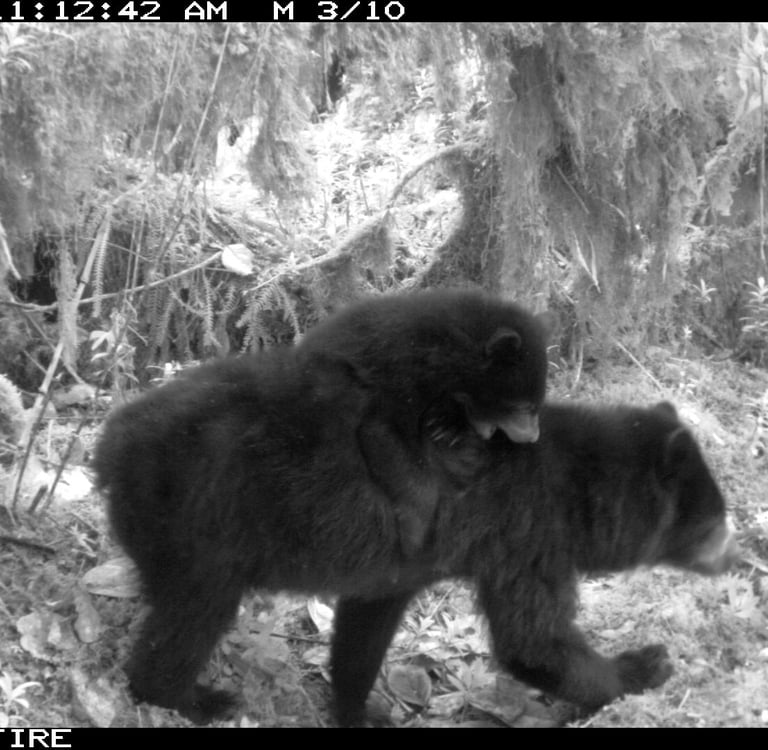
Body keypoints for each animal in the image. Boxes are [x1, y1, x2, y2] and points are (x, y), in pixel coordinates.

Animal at [93, 289, 552, 723]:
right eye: (524, 405)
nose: (532, 436)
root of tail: (113, 444)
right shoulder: (397, 379)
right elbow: (391, 444)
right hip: (197, 522)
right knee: (194, 614)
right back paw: (192, 698)